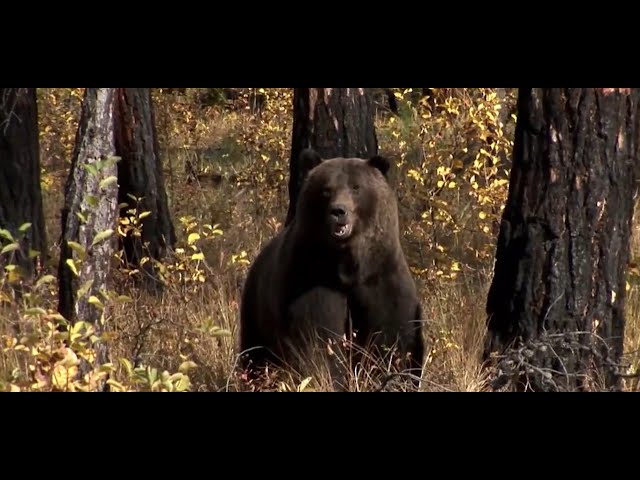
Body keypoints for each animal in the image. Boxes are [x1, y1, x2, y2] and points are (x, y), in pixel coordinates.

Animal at [239, 148, 425, 390]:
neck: (348, 266)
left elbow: (391, 335)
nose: (339, 211)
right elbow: (318, 338)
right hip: (257, 310)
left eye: (356, 187)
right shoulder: (311, 278)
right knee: (256, 355)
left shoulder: (381, 276)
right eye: (326, 189)